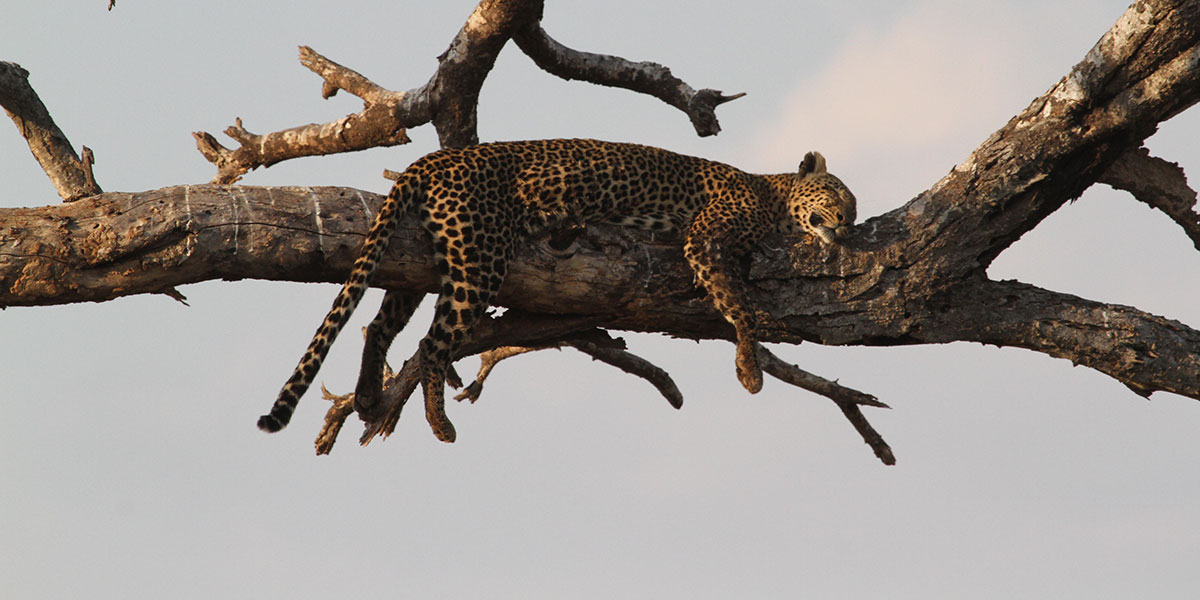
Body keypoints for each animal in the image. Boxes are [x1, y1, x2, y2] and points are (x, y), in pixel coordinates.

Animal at [257, 139, 856, 441]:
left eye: (853, 207)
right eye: (836, 195)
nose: (849, 226)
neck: (771, 195)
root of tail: (429, 158)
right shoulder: (706, 240)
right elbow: (739, 306)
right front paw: (751, 370)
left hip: (424, 259)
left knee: (379, 324)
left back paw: (366, 395)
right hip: (479, 258)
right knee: (432, 343)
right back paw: (439, 423)